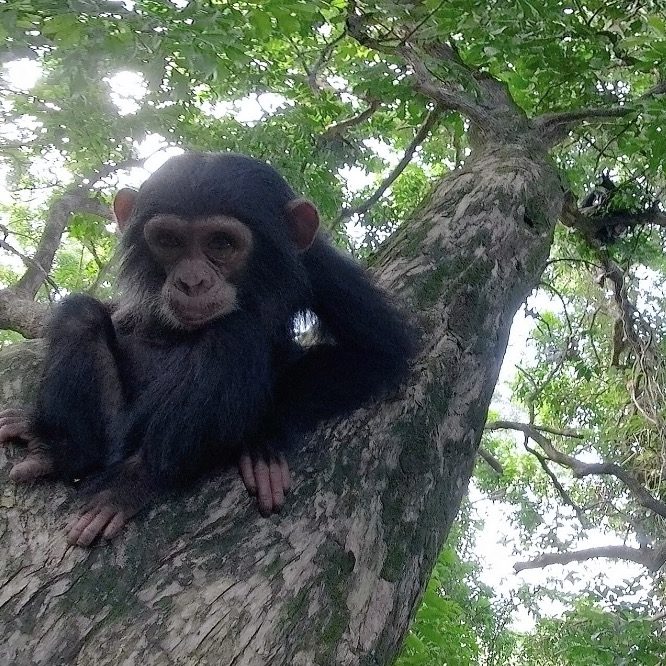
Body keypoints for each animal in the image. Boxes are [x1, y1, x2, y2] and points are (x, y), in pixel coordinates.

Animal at [0, 152, 416, 544]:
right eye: (169, 241)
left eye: (221, 243)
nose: (192, 281)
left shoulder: (320, 266)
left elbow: (376, 352)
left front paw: (261, 441)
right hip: (114, 428)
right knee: (80, 317)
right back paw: (64, 450)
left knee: (234, 332)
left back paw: (134, 479)